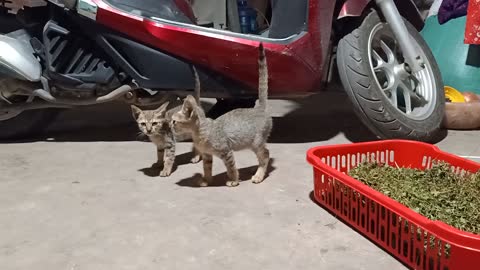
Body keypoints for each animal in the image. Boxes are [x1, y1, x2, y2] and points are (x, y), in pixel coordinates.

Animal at [171, 43, 272, 187]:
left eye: (174, 121)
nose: (169, 125)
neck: (201, 132)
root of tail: (260, 108)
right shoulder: (207, 155)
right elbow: (207, 168)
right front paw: (206, 180)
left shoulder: (226, 152)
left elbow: (231, 168)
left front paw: (234, 180)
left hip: (256, 142)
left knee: (266, 155)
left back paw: (258, 175)